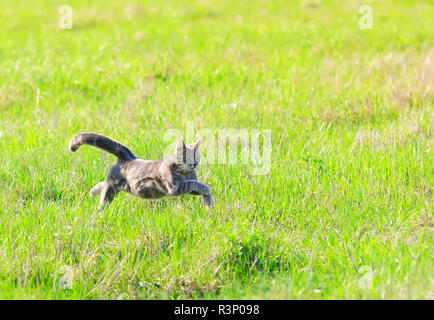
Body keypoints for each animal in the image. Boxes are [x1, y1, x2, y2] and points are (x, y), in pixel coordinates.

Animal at [68, 132, 213, 209]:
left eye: (197, 156)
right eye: (186, 157)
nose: (194, 164)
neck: (186, 173)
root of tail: (129, 156)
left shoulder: (189, 187)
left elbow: (198, 185)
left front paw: (208, 200)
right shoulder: (175, 187)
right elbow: (196, 184)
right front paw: (208, 195)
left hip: (116, 185)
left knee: (102, 184)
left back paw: (93, 192)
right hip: (111, 189)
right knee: (104, 197)